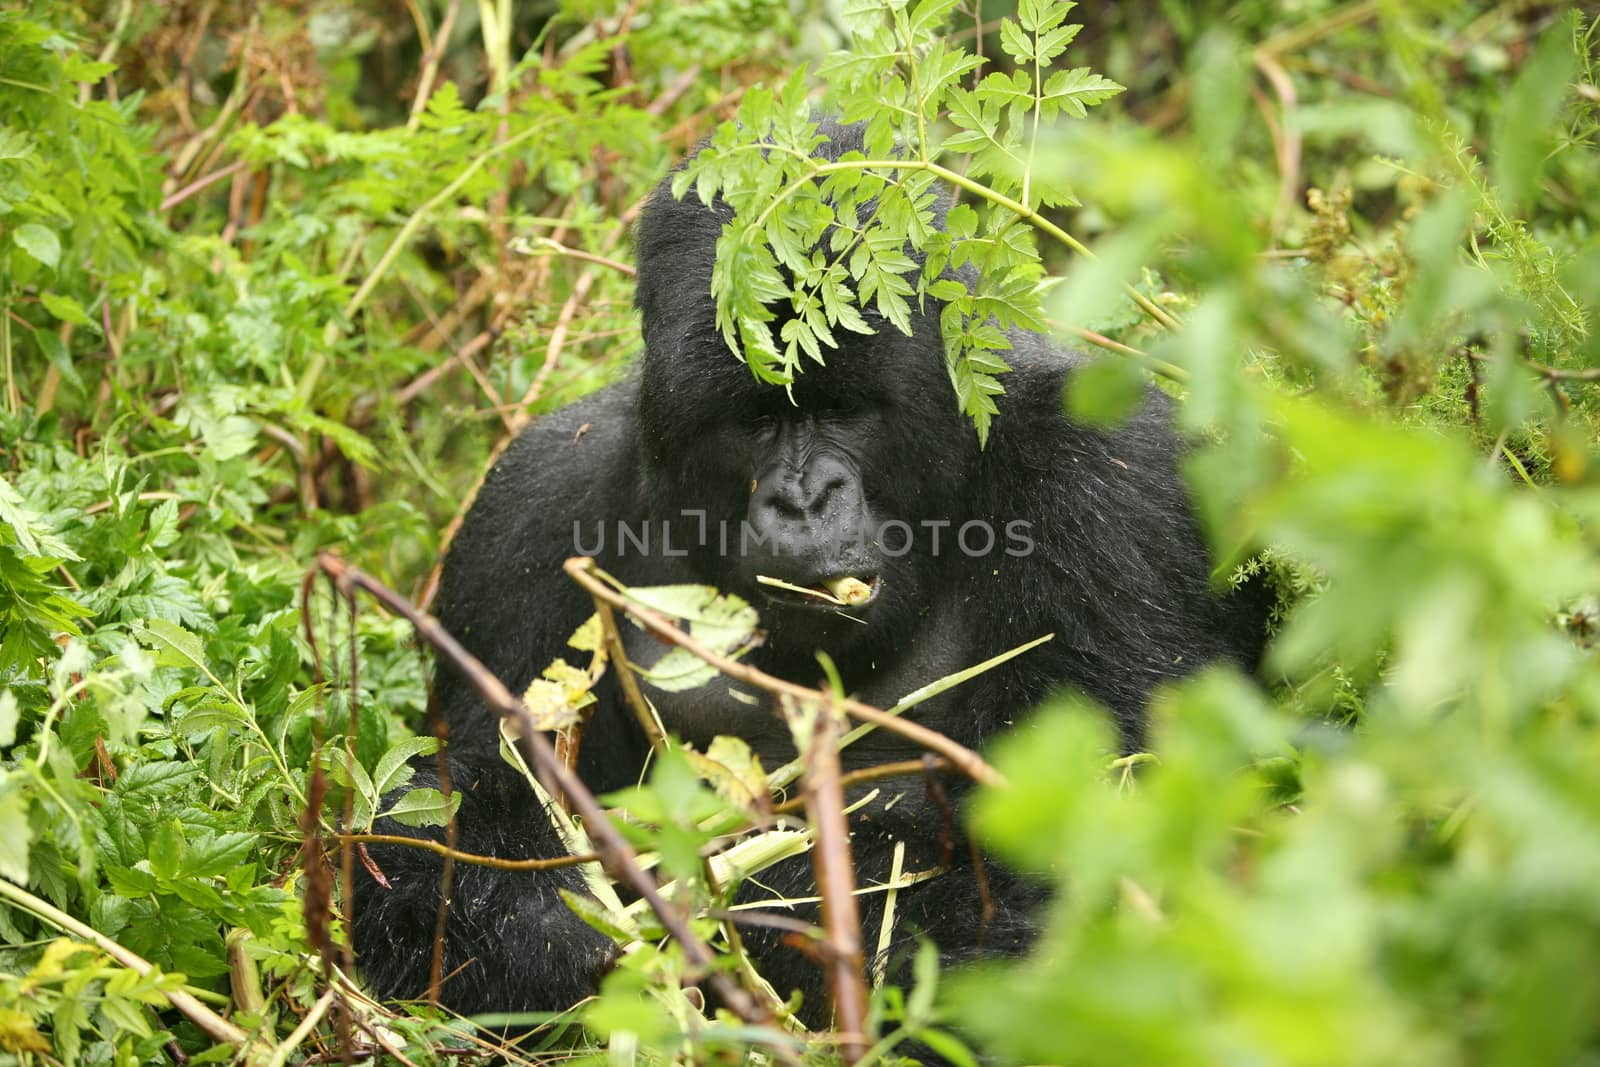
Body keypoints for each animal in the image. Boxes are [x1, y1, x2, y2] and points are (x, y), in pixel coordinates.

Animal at [356, 119, 1267, 1043]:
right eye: (759, 419)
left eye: (844, 409)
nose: (804, 498)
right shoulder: (529, 510)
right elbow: (444, 805)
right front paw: (554, 921)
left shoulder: (1106, 478)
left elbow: (1066, 846)